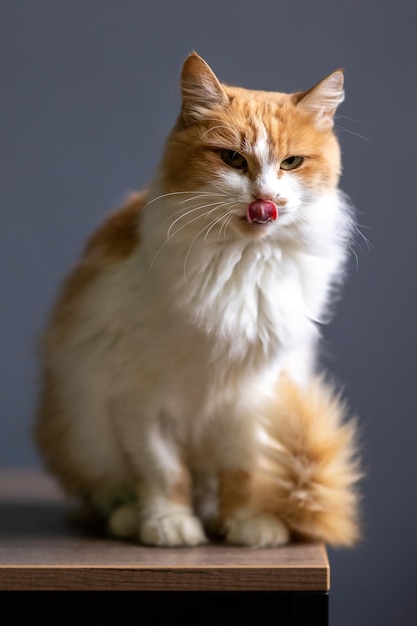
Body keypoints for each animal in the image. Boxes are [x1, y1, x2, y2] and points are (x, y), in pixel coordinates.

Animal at [34, 51, 360, 544]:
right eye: (233, 160)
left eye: (291, 162)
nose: (265, 199)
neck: (241, 266)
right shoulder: (140, 399)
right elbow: (165, 471)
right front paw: (170, 523)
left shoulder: (252, 398)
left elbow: (243, 471)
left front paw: (246, 523)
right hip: (80, 427)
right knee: (104, 491)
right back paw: (130, 517)